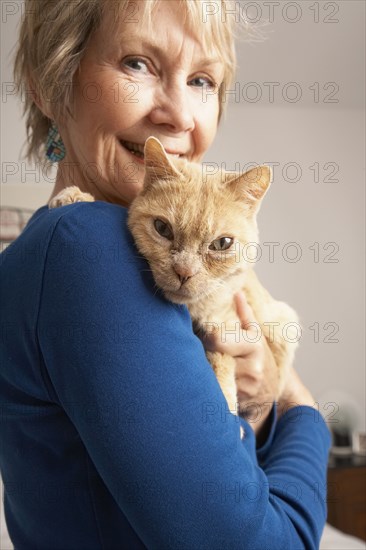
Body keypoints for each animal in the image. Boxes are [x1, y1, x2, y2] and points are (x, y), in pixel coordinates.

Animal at [50, 137, 298, 418]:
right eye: (162, 228)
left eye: (222, 243)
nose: (184, 272)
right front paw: (73, 195)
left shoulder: (232, 323)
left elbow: (221, 360)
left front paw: (226, 400)